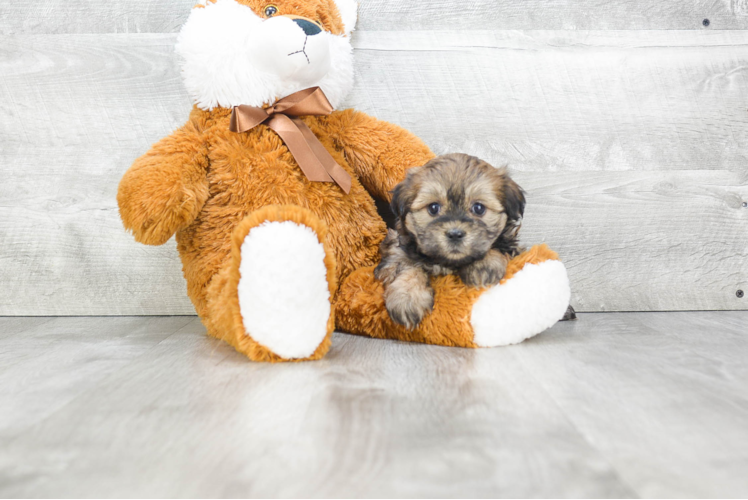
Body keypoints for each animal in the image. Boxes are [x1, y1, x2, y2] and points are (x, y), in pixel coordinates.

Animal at [374, 154, 524, 330]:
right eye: (433, 208)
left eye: (478, 208)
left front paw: (484, 264)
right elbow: (407, 267)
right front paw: (407, 297)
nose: (455, 234)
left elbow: (497, 247)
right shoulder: (397, 250)